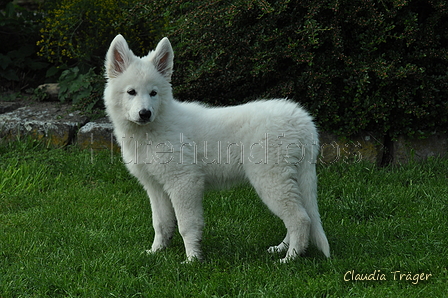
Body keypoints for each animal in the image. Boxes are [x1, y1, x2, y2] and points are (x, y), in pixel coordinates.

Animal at [104, 35, 328, 264]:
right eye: (131, 92)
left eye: (153, 93)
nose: (145, 113)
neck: (153, 128)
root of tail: (302, 120)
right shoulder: (156, 187)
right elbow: (160, 223)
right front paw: (156, 251)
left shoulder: (184, 182)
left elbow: (186, 225)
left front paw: (192, 260)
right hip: (287, 179)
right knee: (300, 217)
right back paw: (281, 248)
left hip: (271, 180)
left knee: (300, 219)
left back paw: (290, 258)